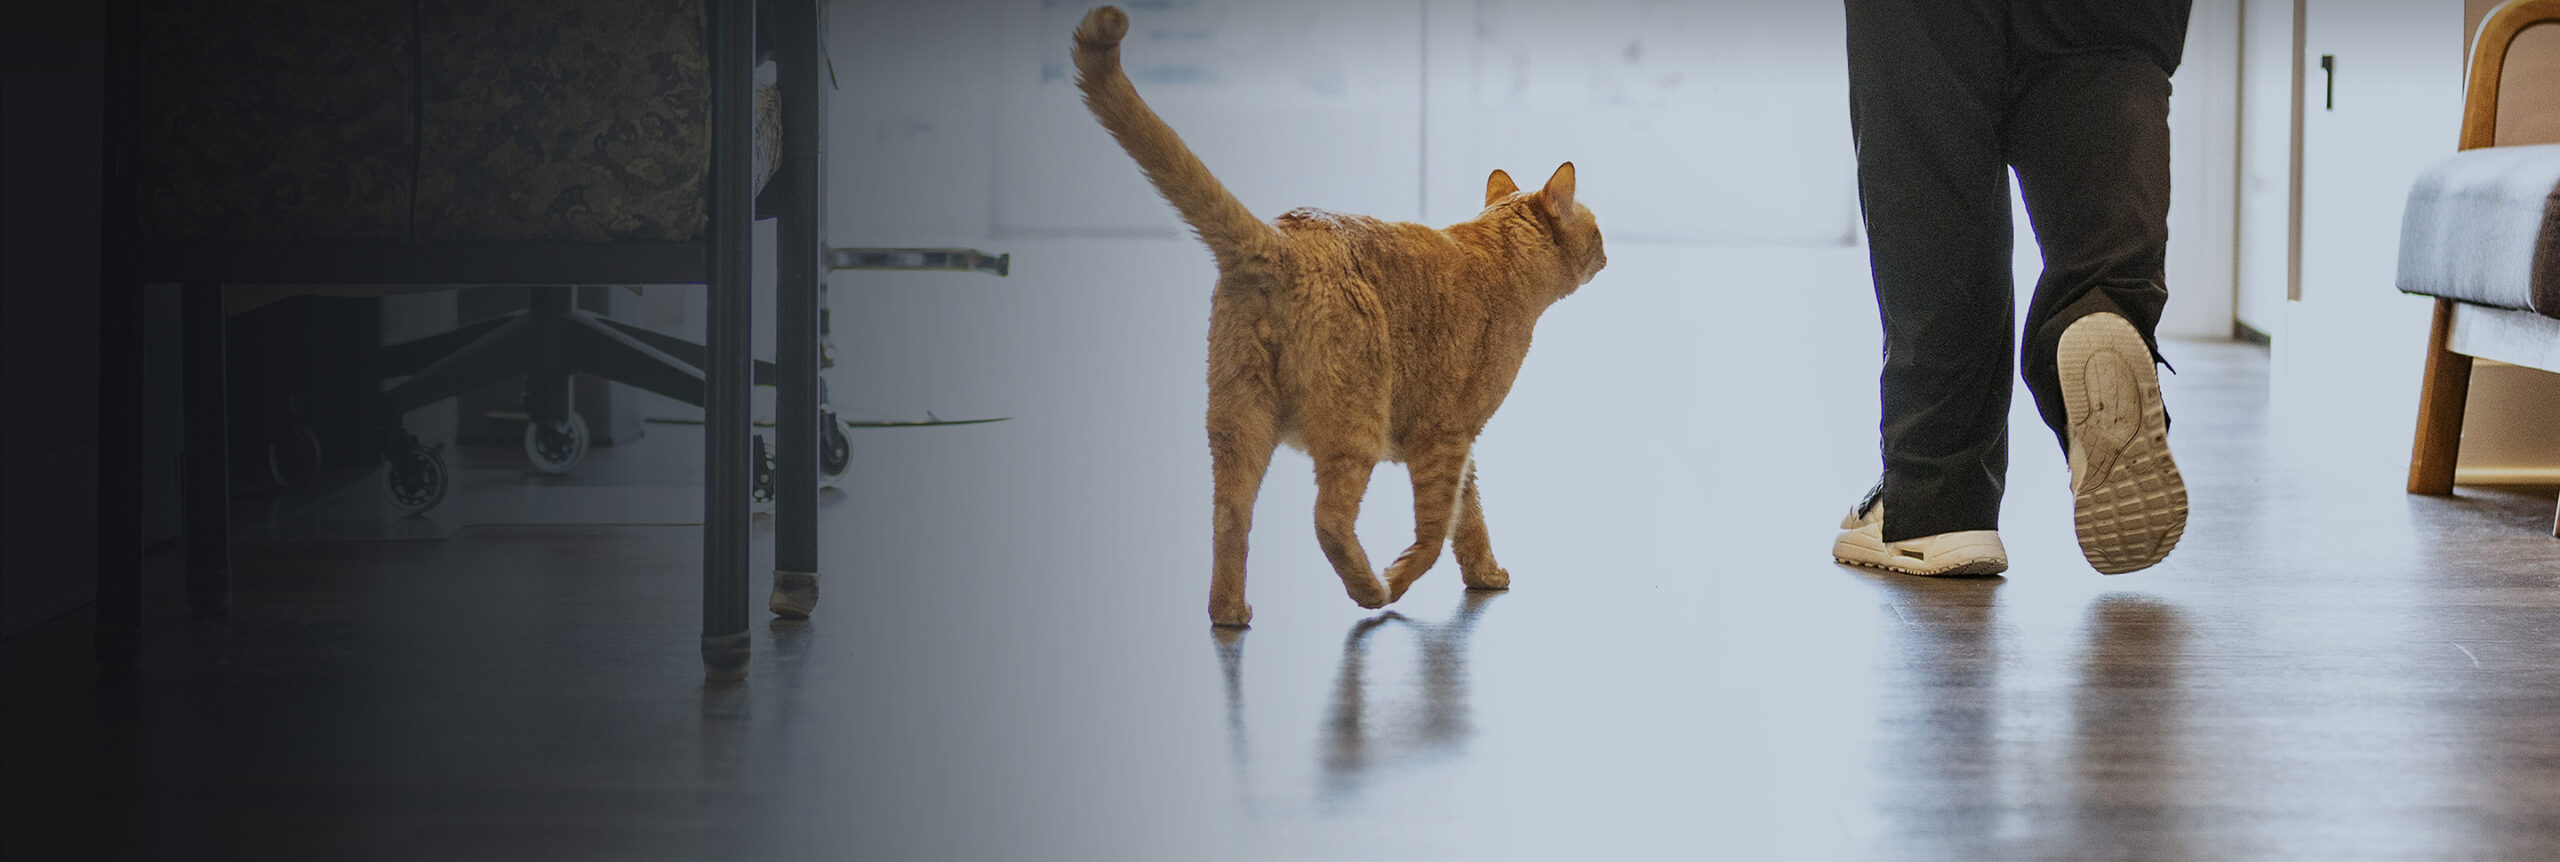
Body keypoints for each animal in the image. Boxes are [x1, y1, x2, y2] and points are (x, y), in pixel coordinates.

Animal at [1075, 6, 1597, 624]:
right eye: (1597, 232)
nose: (1607, 253)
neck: (1495, 255)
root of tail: (1281, 240)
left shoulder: (1461, 446)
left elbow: (1467, 520)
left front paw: (1485, 575)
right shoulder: (1446, 435)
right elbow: (1433, 532)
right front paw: (1401, 577)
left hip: (1237, 423)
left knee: (1229, 518)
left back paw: (1230, 611)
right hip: (1356, 428)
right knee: (1327, 520)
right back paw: (1370, 590)